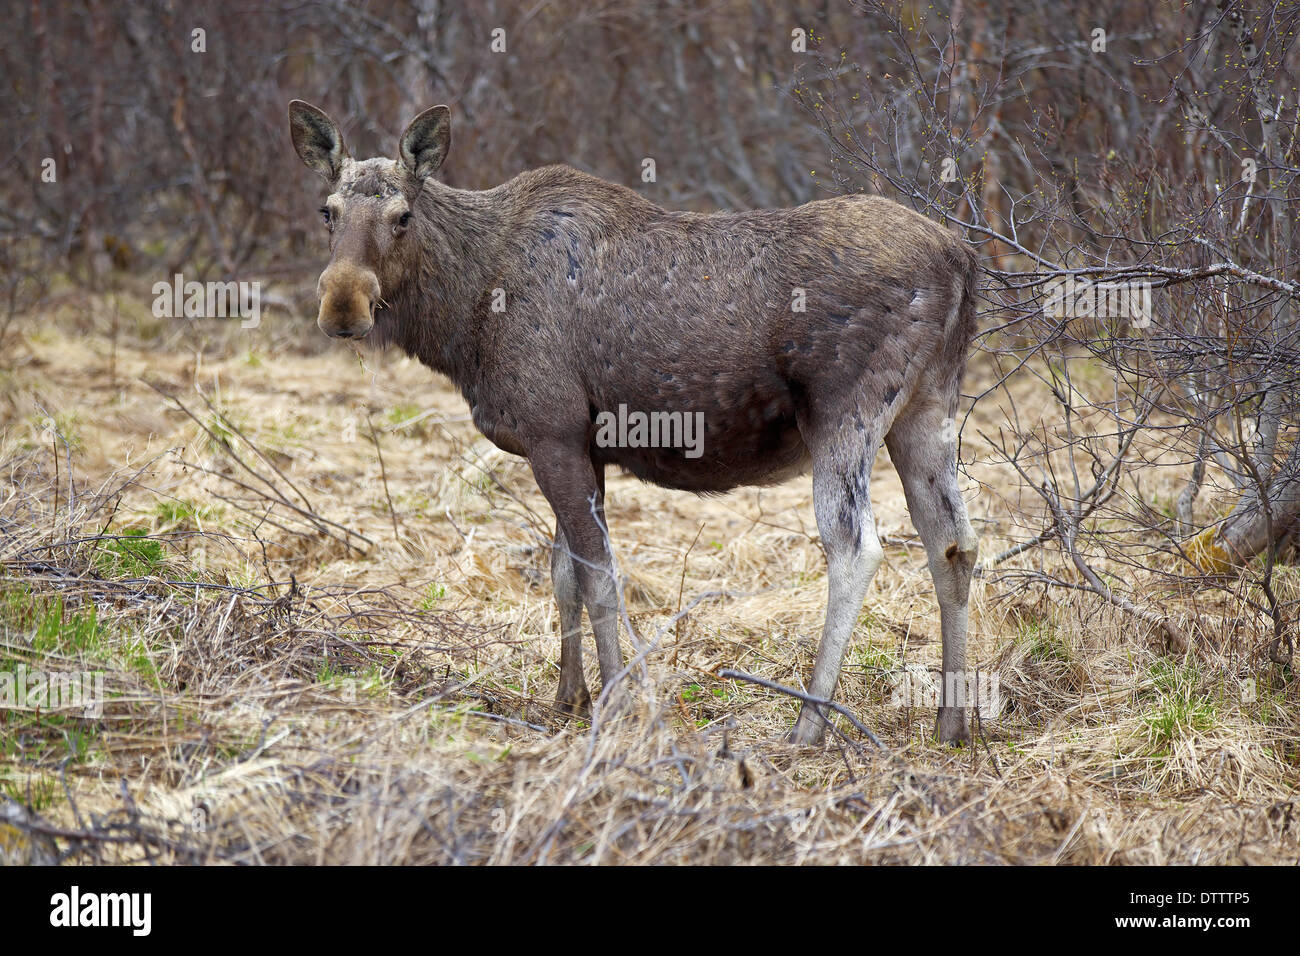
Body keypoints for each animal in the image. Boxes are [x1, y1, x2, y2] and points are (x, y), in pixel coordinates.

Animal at [287, 102, 977, 749]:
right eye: (326, 211)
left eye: (402, 216)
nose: (342, 304)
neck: (463, 318)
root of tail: (961, 257)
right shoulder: (579, 446)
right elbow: (563, 574)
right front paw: (567, 698)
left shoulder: (551, 432)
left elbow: (599, 579)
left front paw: (616, 702)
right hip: (926, 408)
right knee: (954, 542)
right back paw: (952, 721)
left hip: (844, 411)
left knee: (855, 547)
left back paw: (810, 724)